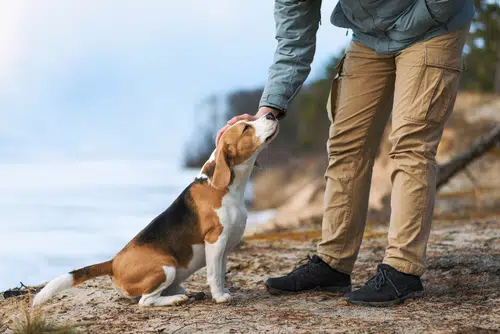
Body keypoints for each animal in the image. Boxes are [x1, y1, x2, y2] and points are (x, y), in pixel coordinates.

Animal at [33, 113, 280, 306]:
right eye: (246, 128)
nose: (271, 115)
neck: (226, 187)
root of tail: (113, 262)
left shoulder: (225, 247)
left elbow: (220, 271)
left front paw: (223, 291)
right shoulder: (215, 240)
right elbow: (213, 275)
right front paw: (220, 297)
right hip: (166, 268)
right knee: (145, 301)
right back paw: (176, 299)